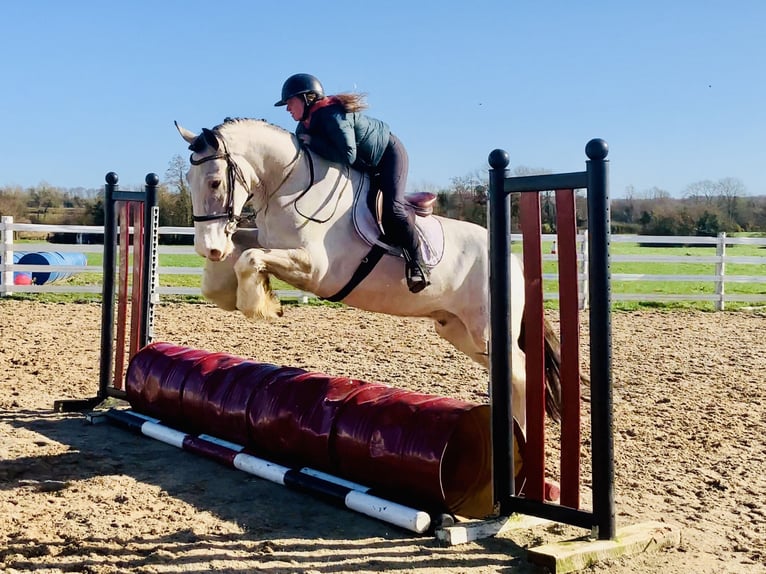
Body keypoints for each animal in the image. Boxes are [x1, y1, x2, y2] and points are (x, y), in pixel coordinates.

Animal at [174, 117, 562, 433]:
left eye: (214, 183)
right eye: (189, 180)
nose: (207, 247)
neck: (289, 186)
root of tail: (513, 261)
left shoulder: (315, 267)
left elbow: (248, 258)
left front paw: (261, 304)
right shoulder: (268, 242)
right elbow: (241, 252)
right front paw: (232, 290)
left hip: (486, 331)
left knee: (522, 374)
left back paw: (520, 440)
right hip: (458, 330)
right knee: (508, 374)